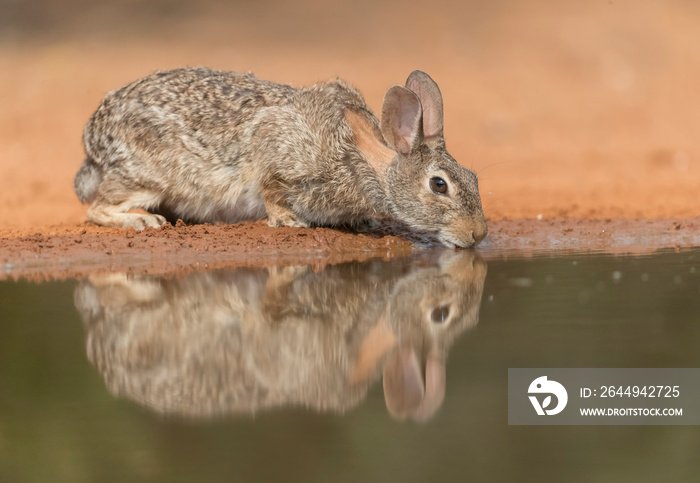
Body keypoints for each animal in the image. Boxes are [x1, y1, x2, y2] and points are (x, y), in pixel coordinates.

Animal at [75, 67, 486, 248]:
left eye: (473, 178)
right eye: (439, 185)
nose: (478, 234)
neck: (363, 162)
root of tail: (93, 139)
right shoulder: (276, 152)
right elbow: (270, 187)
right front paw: (289, 221)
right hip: (149, 175)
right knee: (97, 208)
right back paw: (142, 221)